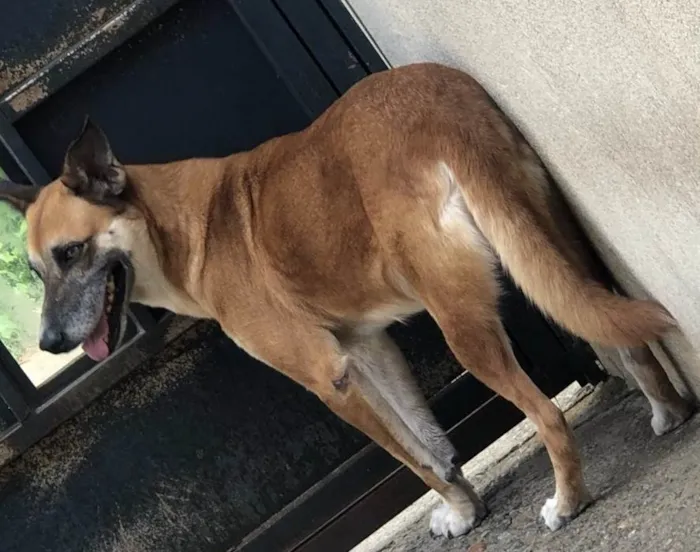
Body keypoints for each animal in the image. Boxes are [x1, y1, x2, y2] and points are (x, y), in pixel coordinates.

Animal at [0, 61, 692, 540]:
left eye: (70, 254)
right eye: (34, 269)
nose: (50, 345)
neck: (185, 226)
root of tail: (439, 111)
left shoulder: (328, 379)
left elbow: (411, 459)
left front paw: (459, 506)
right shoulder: (367, 349)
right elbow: (432, 446)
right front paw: (463, 508)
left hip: (464, 328)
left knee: (547, 415)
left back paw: (569, 500)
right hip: (547, 241)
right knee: (616, 329)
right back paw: (667, 410)